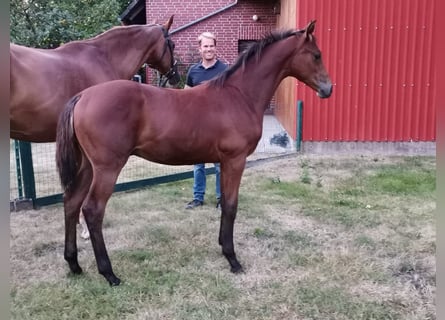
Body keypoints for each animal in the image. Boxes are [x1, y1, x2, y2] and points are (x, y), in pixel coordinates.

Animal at [55, 20, 332, 284]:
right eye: (316, 55)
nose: (328, 89)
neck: (239, 95)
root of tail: (82, 96)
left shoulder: (225, 162)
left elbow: (225, 203)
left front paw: (223, 247)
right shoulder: (235, 161)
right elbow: (231, 205)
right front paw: (232, 259)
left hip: (88, 166)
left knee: (71, 201)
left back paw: (74, 264)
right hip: (107, 168)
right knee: (92, 210)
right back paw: (109, 274)